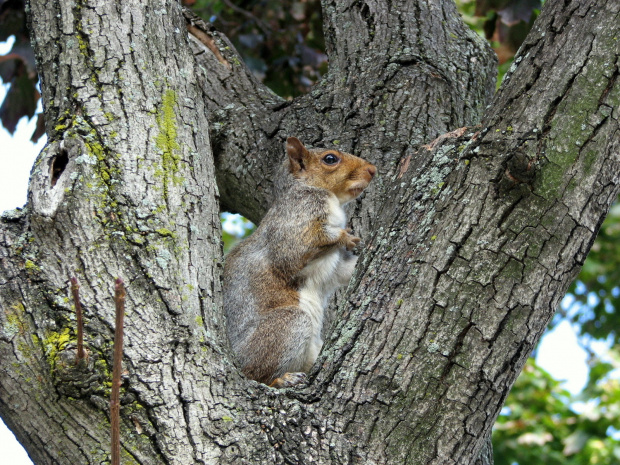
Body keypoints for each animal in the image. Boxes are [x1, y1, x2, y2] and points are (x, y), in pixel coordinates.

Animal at [224, 138, 376, 388]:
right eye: (330, 159)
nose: (372, 170)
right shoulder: (297, 219)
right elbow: (294, 252)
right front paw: (347, 237)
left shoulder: (333, 268)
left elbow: (344, 272)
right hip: (286, 326)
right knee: (255, 374)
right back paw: (282, 380)